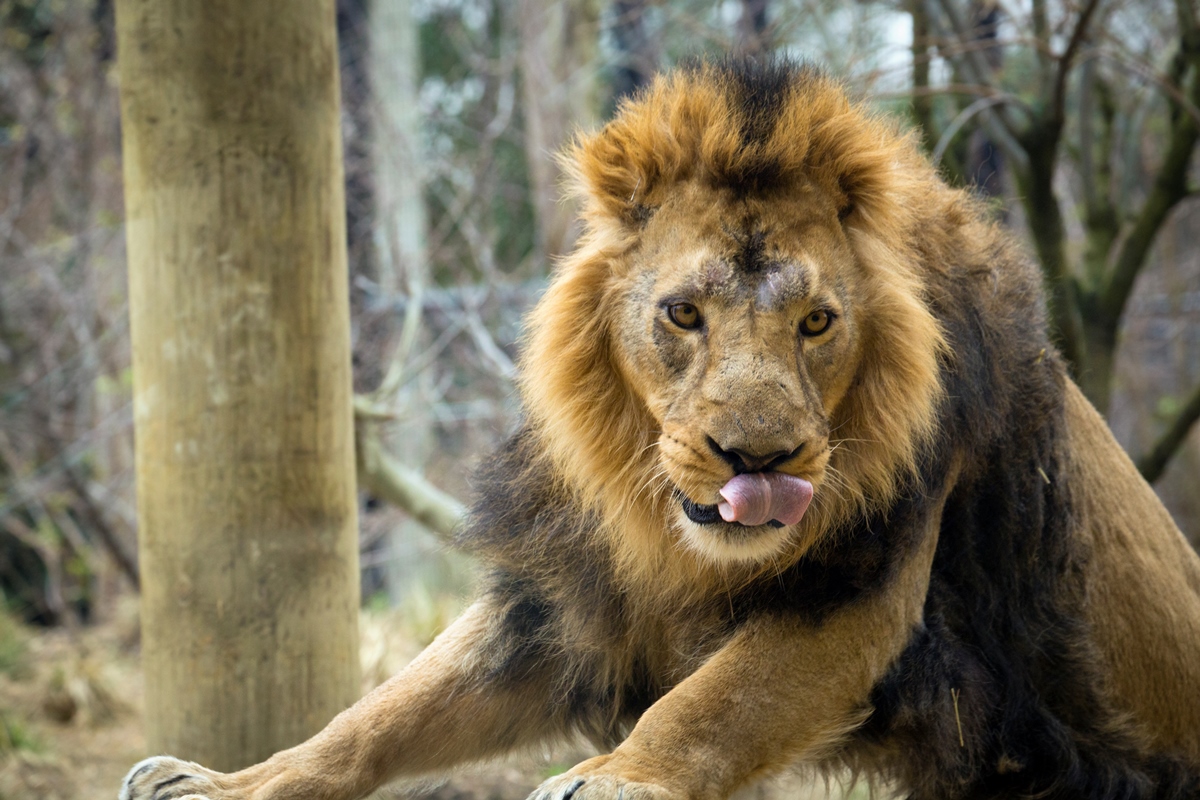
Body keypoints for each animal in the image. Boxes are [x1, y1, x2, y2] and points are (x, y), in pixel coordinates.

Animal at [119, 57, 1200, 800]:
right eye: (683, 314)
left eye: (818, 323)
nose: (758, 458)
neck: (674, 542)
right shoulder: (561, 599)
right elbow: (383, 711)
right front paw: (224, 783)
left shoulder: (857, 594)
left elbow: (711, 704)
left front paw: (612, 778)